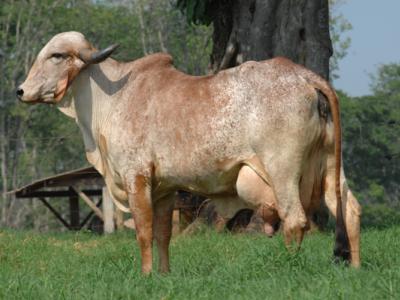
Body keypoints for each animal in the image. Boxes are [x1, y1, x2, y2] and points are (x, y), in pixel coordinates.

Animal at [18, 31, 362, 274]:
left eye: (56, 55)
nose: (20, 91)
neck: (112, 97)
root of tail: (303, 75)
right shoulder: (165, 189)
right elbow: (163, 234)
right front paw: (163, 274)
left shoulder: (136, 178)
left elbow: (143, 231)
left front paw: (145, 275)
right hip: (330, 167)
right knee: (349, 209)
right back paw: (355, 267)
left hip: (282, 171)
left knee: (295, 220)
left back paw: (289, 267)